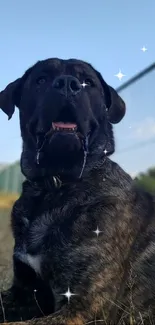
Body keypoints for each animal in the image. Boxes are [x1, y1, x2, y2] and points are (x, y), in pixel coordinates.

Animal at [0, 58, 154, 324]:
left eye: (88, 82)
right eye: (41, 79)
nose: (67, 84)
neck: (55, 187)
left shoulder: (84, 306)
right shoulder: (24, 293)